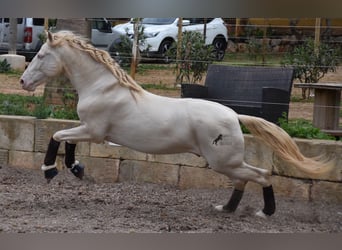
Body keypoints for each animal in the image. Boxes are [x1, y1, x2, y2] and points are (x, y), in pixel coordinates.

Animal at [20, 31, 332, 219]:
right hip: (227, 162)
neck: (102, 87)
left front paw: (50, 171)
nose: (23, 82)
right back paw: (226, 208)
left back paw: (264, 212)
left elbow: (57, 134)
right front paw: (76, 169)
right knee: (246, 178)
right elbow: (66, 140)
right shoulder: (89, 130)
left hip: (223, 161)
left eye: (42, 56)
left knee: (261, 174)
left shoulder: (93, 131)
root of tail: (234, 115)